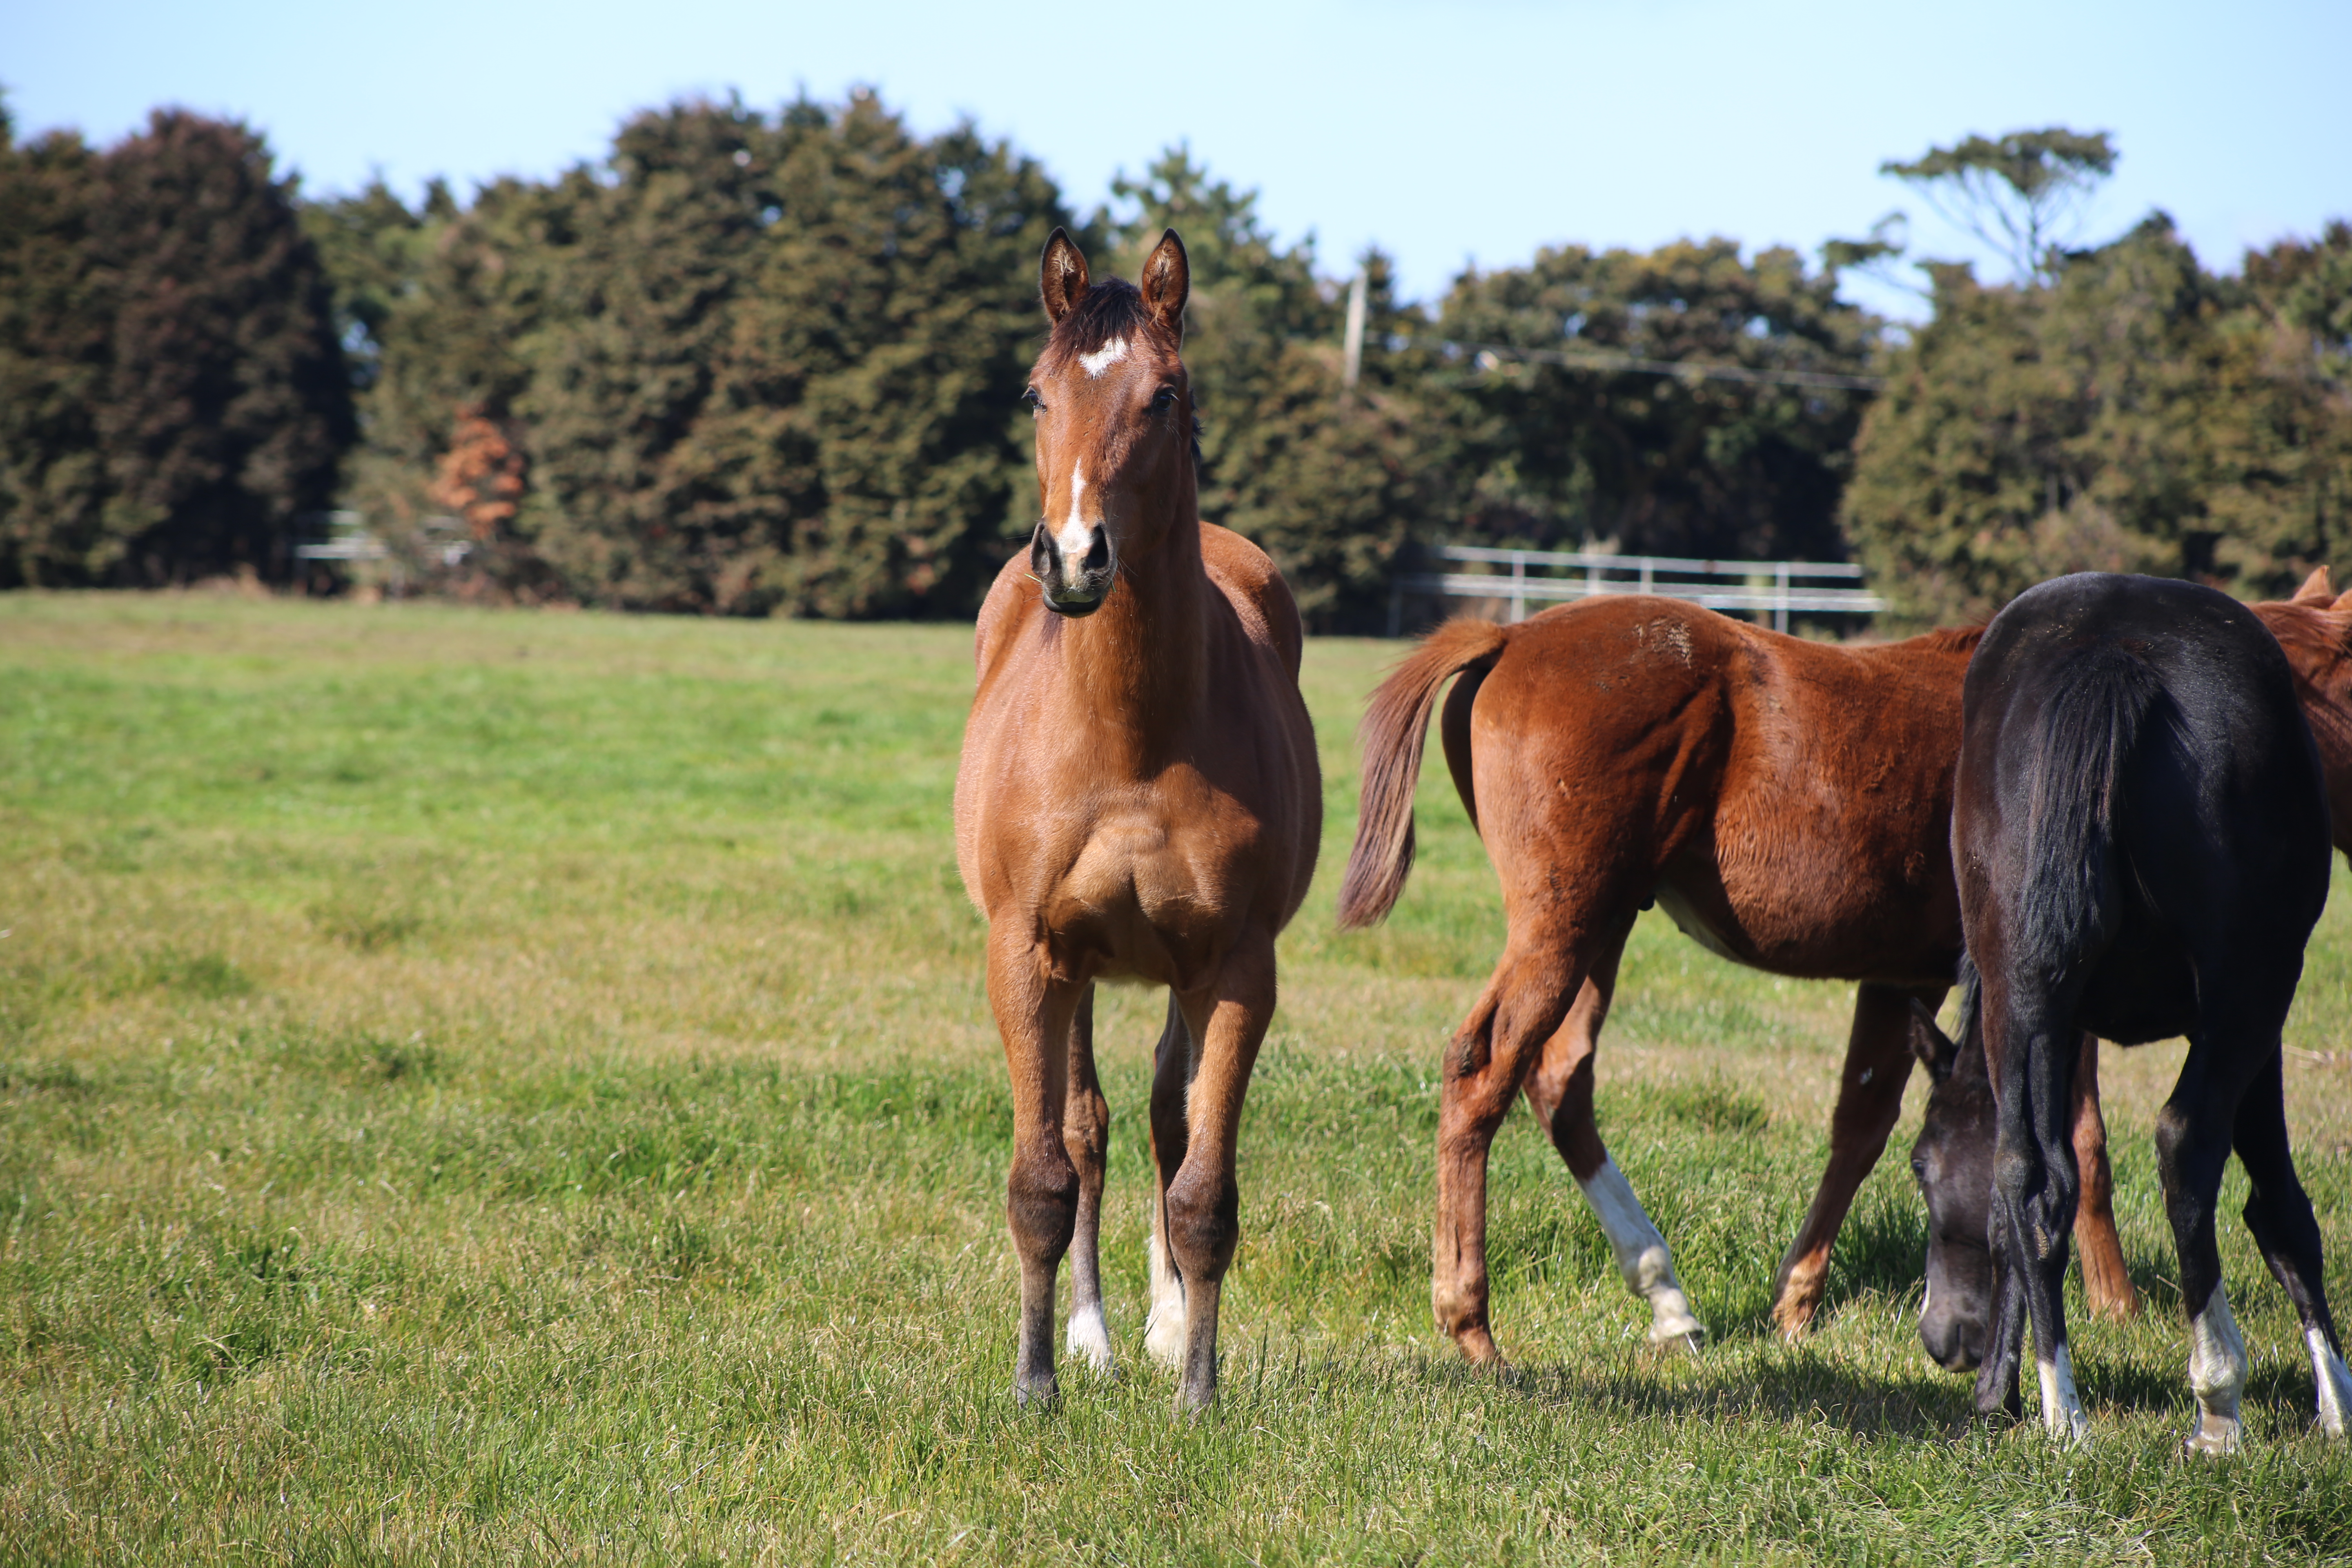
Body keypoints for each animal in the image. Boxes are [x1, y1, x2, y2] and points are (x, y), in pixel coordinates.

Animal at [955, 227, 1326, 1420]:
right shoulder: (1027, 953)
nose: (1076, 556)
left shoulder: (1235, 966)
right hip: (1075, 971)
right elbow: (1045, 1173)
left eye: (1163, 395)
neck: (1129, 740)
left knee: (1167, 1118)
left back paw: (1160, 1330)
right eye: (1037, 392)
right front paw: (1035, 1383)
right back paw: (1093, 1335)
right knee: (1090, 1126)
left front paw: (1197, 1389)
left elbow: (1205, 1187)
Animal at [1345, 566, 2352, 1363]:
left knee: (1560, 1079)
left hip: (1601, 927)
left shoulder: (1911, 975)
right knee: (1484, 1069)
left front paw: (1799, 1300)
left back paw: (1666, 1297)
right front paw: (2114, 1303)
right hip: (1566, 922)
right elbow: (2059, 1137)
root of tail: (1512, 633)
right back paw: (1471, 1322)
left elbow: (1866, 1129)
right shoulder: (2006, 982)